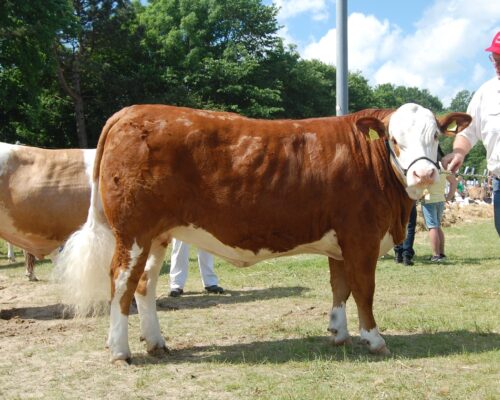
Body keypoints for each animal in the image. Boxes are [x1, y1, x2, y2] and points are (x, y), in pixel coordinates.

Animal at [56, 103, 470, 362]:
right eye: (394, 139)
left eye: (437, 136)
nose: (425, 174)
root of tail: (130, 112)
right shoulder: (362, 238)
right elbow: (364, 292)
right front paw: (374, 338)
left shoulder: (340, 241)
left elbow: (340, 288)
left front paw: (338, 333)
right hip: (132, 231)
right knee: (121, 282)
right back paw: (119, 350)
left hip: (158, 234)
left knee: (145, 284)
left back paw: (156, 342)